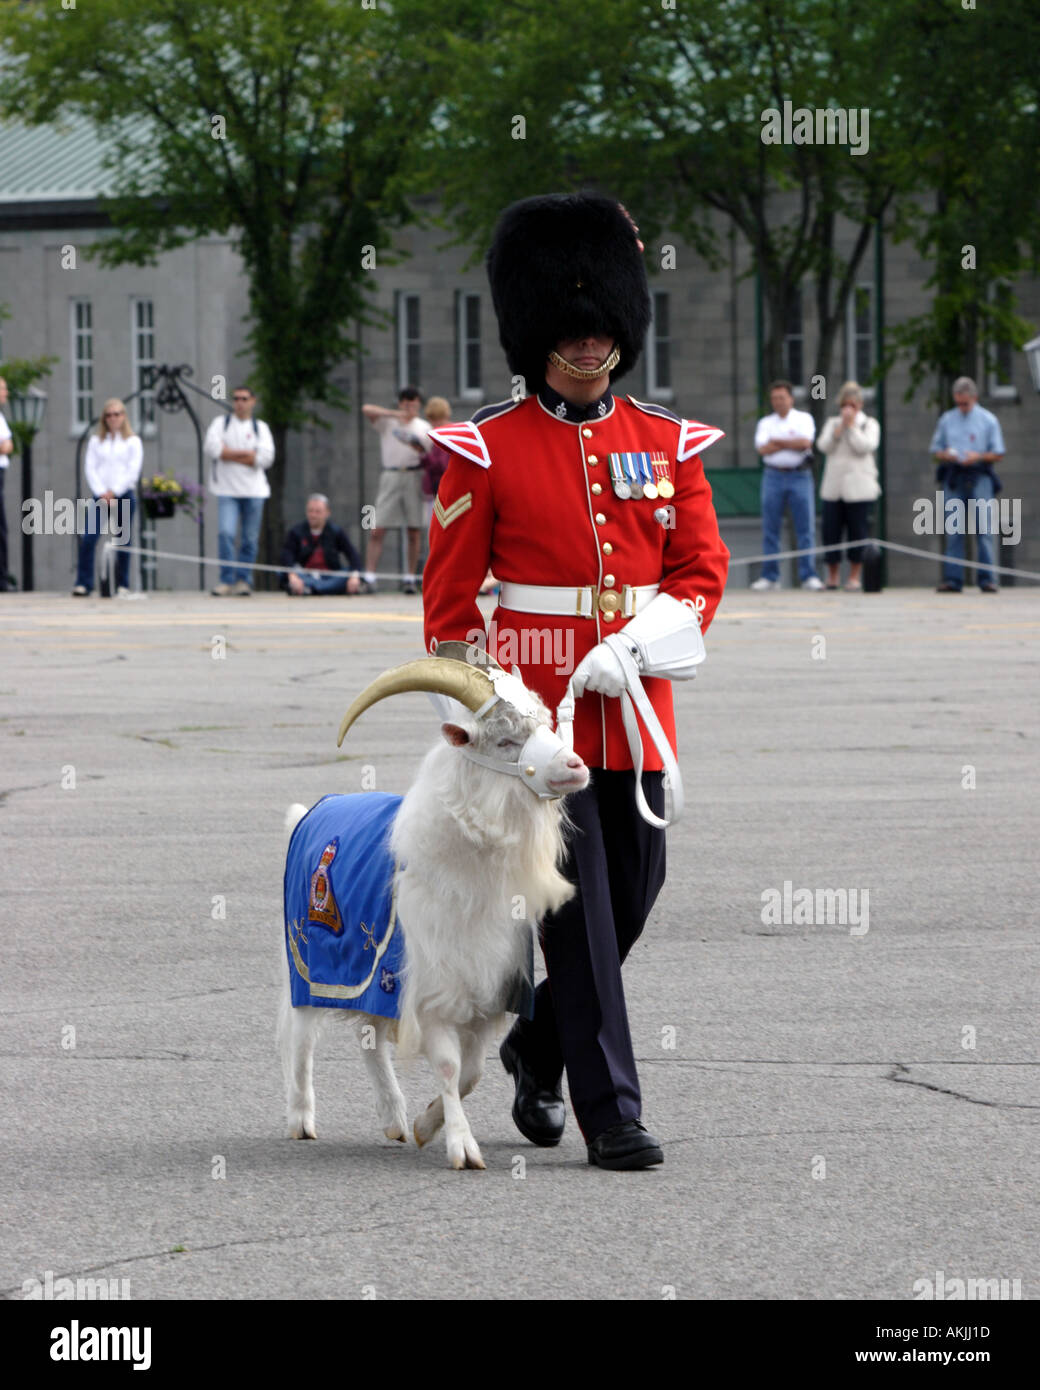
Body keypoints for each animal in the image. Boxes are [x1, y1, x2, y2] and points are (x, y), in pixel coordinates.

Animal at [276, 656, 583, 1167]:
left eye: (546, 724)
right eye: (504, 740)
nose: (577, 767)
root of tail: (312, 811)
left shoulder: (482, 993)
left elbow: (473, 1072)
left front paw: (426, 1125)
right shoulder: (434, 988)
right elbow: (449, 1065)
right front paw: (463, 1147)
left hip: (372, 977)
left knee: (370, 1041)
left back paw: (395, 1120)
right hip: (311, 961)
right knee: (300, 1037)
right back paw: (301, 1119)